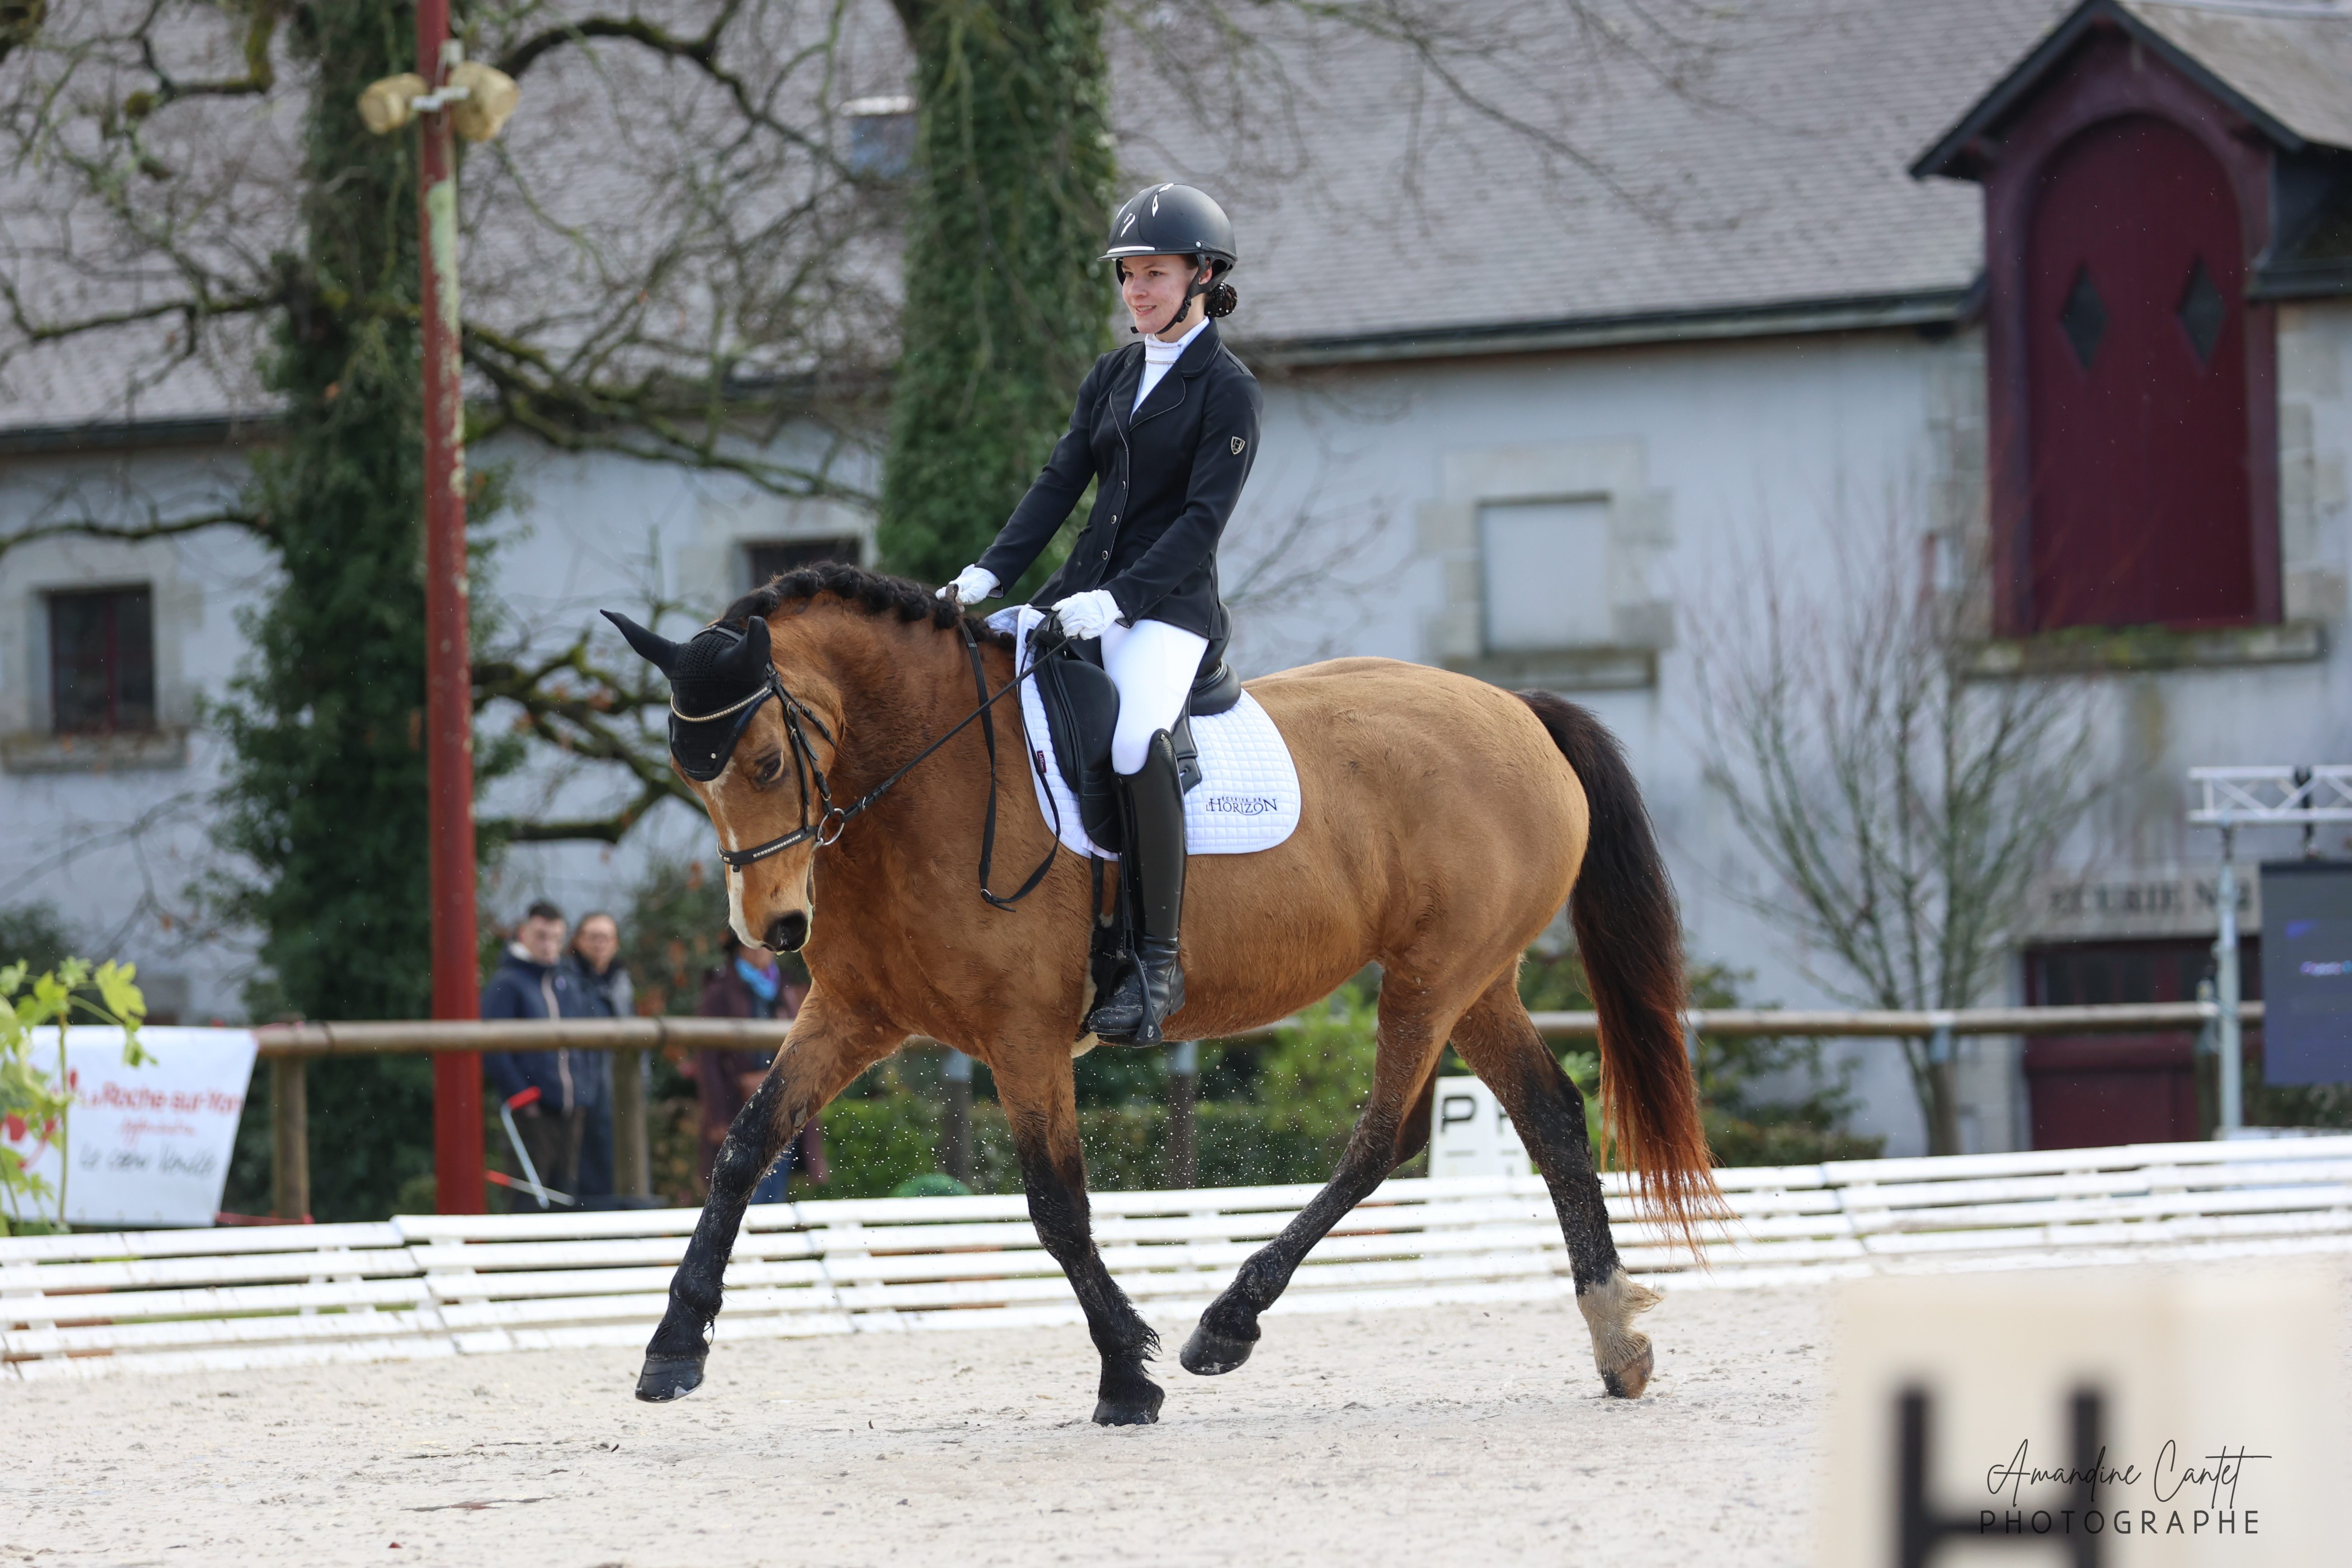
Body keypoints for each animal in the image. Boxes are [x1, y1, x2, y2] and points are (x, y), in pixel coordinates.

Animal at [608, 562, 1718, 1425]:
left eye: (764, 759)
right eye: (689, 772)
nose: (772, 929)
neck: (926, 770)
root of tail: (1518, 708)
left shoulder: (1023, 1034)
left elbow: (1056, 1205)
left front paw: (1124, 1375)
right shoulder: (852, 1015)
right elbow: (744, 1147)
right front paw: (673, 1347)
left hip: (1431, 975)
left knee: (1383, 1139)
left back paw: (1226, 1325)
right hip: (1475, 980)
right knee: (1551, 1117)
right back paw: (1616, 1341)